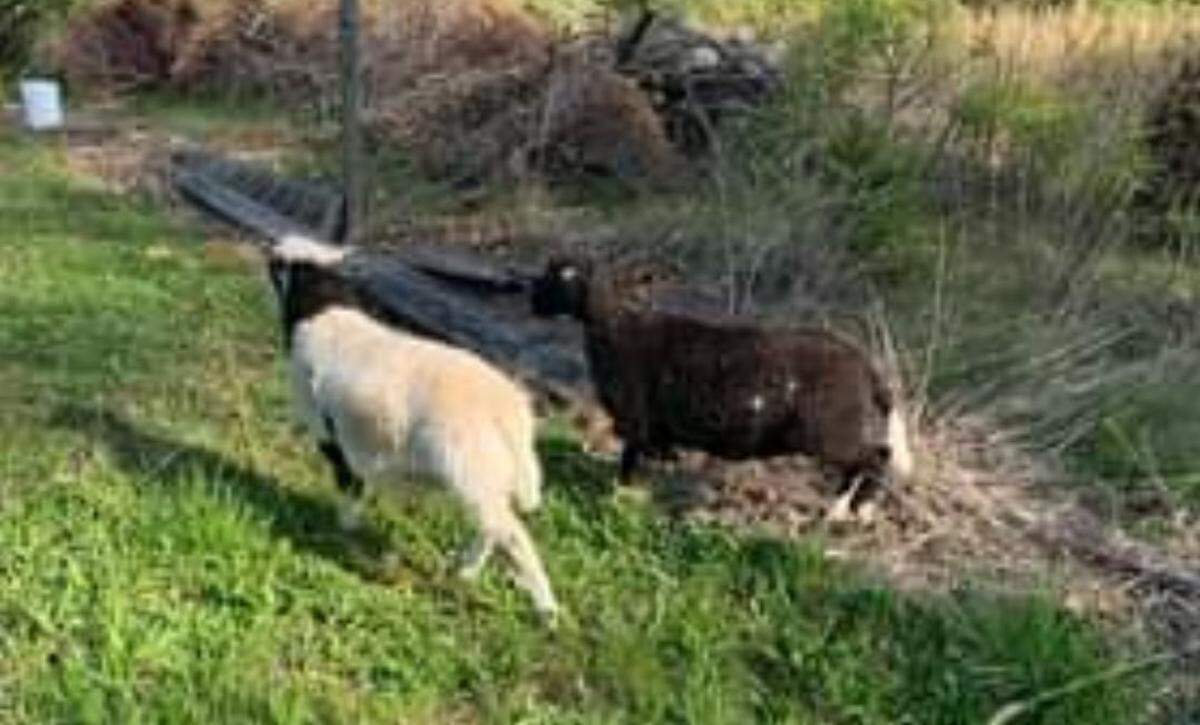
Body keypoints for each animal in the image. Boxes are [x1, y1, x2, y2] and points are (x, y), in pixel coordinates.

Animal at [266, 235, 559, 623]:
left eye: (285, 264)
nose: (270, 247)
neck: (326, 313)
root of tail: (508, 411)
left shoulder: (332, 436)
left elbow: (349, 485)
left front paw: (344, 528)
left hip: (471, 467)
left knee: (511, 535)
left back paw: (546, 611)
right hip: (490, 476)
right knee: (494, 527)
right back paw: (466, 572)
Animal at [530, 255, 914, 517]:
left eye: (563, 276)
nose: (532, 300)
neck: (617, 326)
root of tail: (869, 370)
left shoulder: (635, 418)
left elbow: (629, 461)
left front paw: (619, 498)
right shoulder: (650, 429)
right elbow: (647, 457)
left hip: (831, 432)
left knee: (877, 458)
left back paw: (854, 508)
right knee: (867, 462)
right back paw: (842, 507)